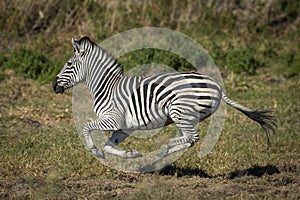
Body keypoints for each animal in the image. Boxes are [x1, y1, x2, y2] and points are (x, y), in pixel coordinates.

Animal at [52, 36, 276, 159]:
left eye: (69, 64)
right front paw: (130, 154)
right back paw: (163, 153)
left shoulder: (112, 119)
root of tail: (217, 85)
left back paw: (165, 147)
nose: (54, 86)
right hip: (186, 117)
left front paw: (94, 150)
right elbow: (109, 145)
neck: (108, 88)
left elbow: (86, 127)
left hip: (179, 112)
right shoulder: (124, 126)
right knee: (189, 140)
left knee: (192, 138)